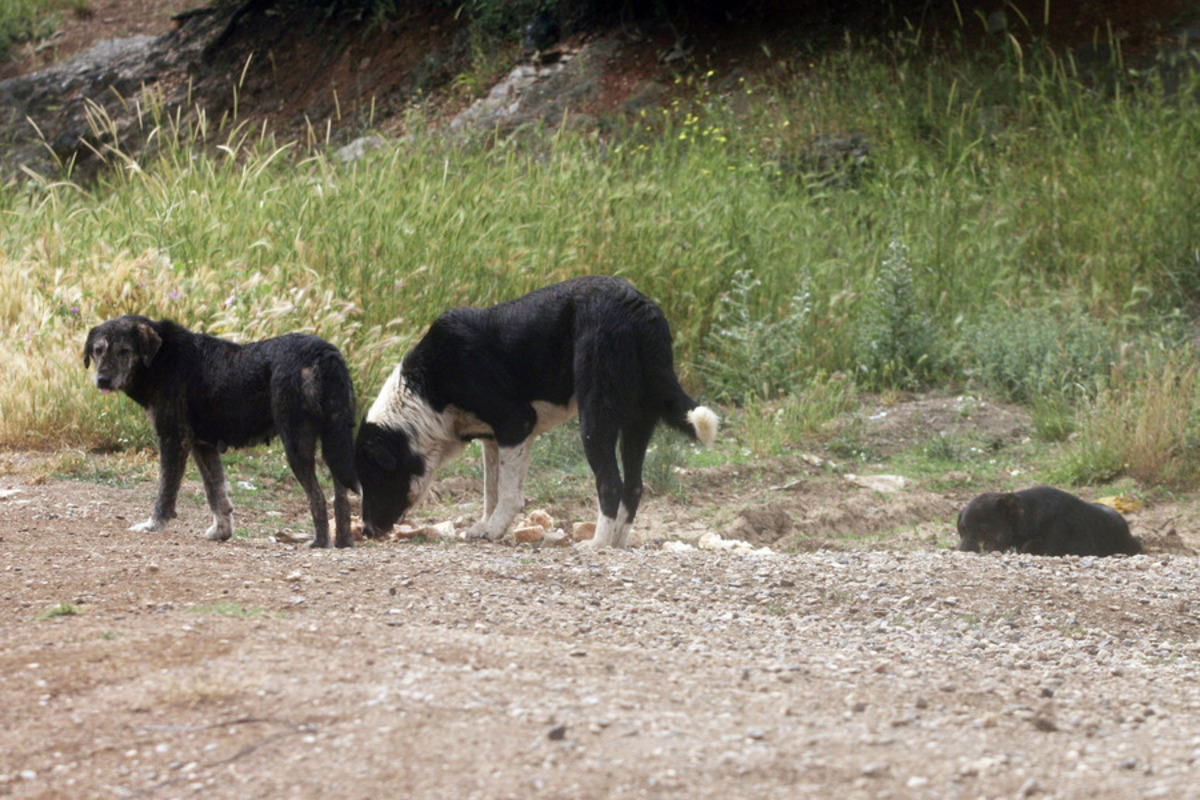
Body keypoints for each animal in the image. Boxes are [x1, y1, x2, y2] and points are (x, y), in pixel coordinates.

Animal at [84, 316, 357, 546]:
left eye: (124, 351)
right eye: (98, 350)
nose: (102, 380)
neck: (161, 358)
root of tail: (323, 352)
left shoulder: (173, 440)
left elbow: (165, 491)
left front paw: (154, 525)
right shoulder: (203, 446)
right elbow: (216, 494)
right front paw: (222, 531)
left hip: (297, 444)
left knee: (318, 497)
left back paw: (319, 543)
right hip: (335, 442)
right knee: (341, 499)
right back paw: (343, 543)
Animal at [350, 277, 715, 551]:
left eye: (373, 477)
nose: (365, 530)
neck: (425, 389)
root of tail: (640, 307)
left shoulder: (515, 422)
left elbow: (508, 493)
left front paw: (495, 529)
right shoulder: (493, 438)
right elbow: (491, 490)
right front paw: (486, 525)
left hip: (595, 418)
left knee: (611, 483)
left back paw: (597, 544)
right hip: (637, 421)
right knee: (635, 486)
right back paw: (616, 542)